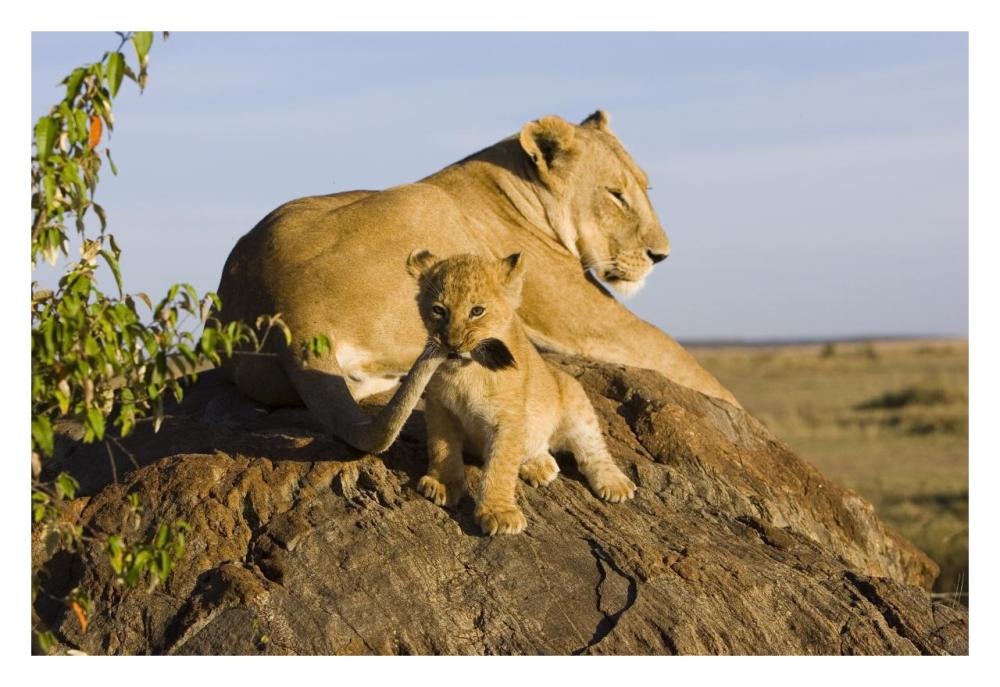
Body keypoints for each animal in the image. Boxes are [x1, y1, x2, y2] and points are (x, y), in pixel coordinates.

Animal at [217, 110, 738, 453]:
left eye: (645, 189)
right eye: (616, 195)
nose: (661, 255)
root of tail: (290, 314)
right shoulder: (585, 317)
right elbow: (681, 359)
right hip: (424, 202)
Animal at [408, 250, 636, 535]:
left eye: (477, 311)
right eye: (439, 310)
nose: (453, 344)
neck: (467, 371)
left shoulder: (508, 418)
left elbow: (501, 465)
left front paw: (499, 513)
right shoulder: (440, 407)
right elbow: (441, 447)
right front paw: (443, 484)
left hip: (576, 403)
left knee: (594, 450)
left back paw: (615, 484)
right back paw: (540, 467)